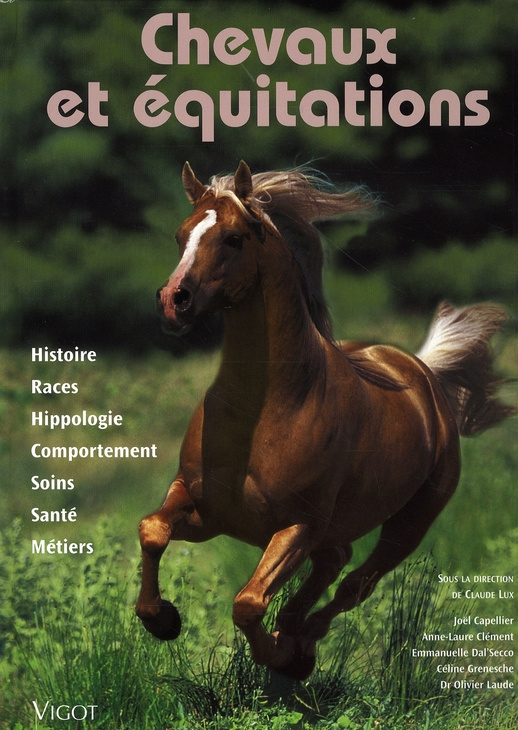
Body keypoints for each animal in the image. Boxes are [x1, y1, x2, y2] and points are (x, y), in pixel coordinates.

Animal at [136, 161, 513, 680]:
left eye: (234, 238)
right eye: (181, 234)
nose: (174, 300)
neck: (263, 413)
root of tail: (424, 375)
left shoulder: (298, 526)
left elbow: (248, 603)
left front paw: (278, 654)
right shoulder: (205, 508)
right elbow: (152, 530)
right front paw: (162, 619)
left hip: (410, 524)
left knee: (355, 583)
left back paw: (300, 646)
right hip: (335, 534)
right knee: (336, 564)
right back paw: (293, 632)